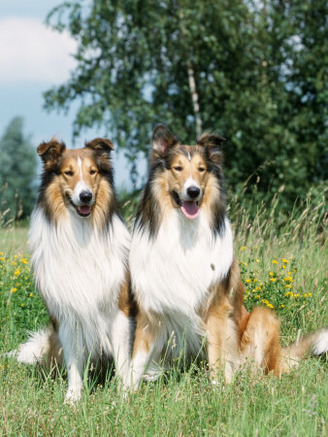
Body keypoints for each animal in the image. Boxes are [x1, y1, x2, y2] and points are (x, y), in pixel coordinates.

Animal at [14, 137, 135, 402]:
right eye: (68, 173)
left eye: (93, 172)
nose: (86, 196)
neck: (82, 231)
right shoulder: (66, 314)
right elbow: (73, 362)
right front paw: (73, 397)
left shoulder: (118, 309)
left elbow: (123, 360)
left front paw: (123, 395)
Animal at [125, 124, 326, 390]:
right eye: (178, 168)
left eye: (201, 169)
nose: (193, 191)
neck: (185, 232)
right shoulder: (151, 311)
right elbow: (136, 361)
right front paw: (123, 394)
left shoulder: (217, 308)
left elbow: (218, 359)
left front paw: (219, 391)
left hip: (262, 317)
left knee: (261, 371)